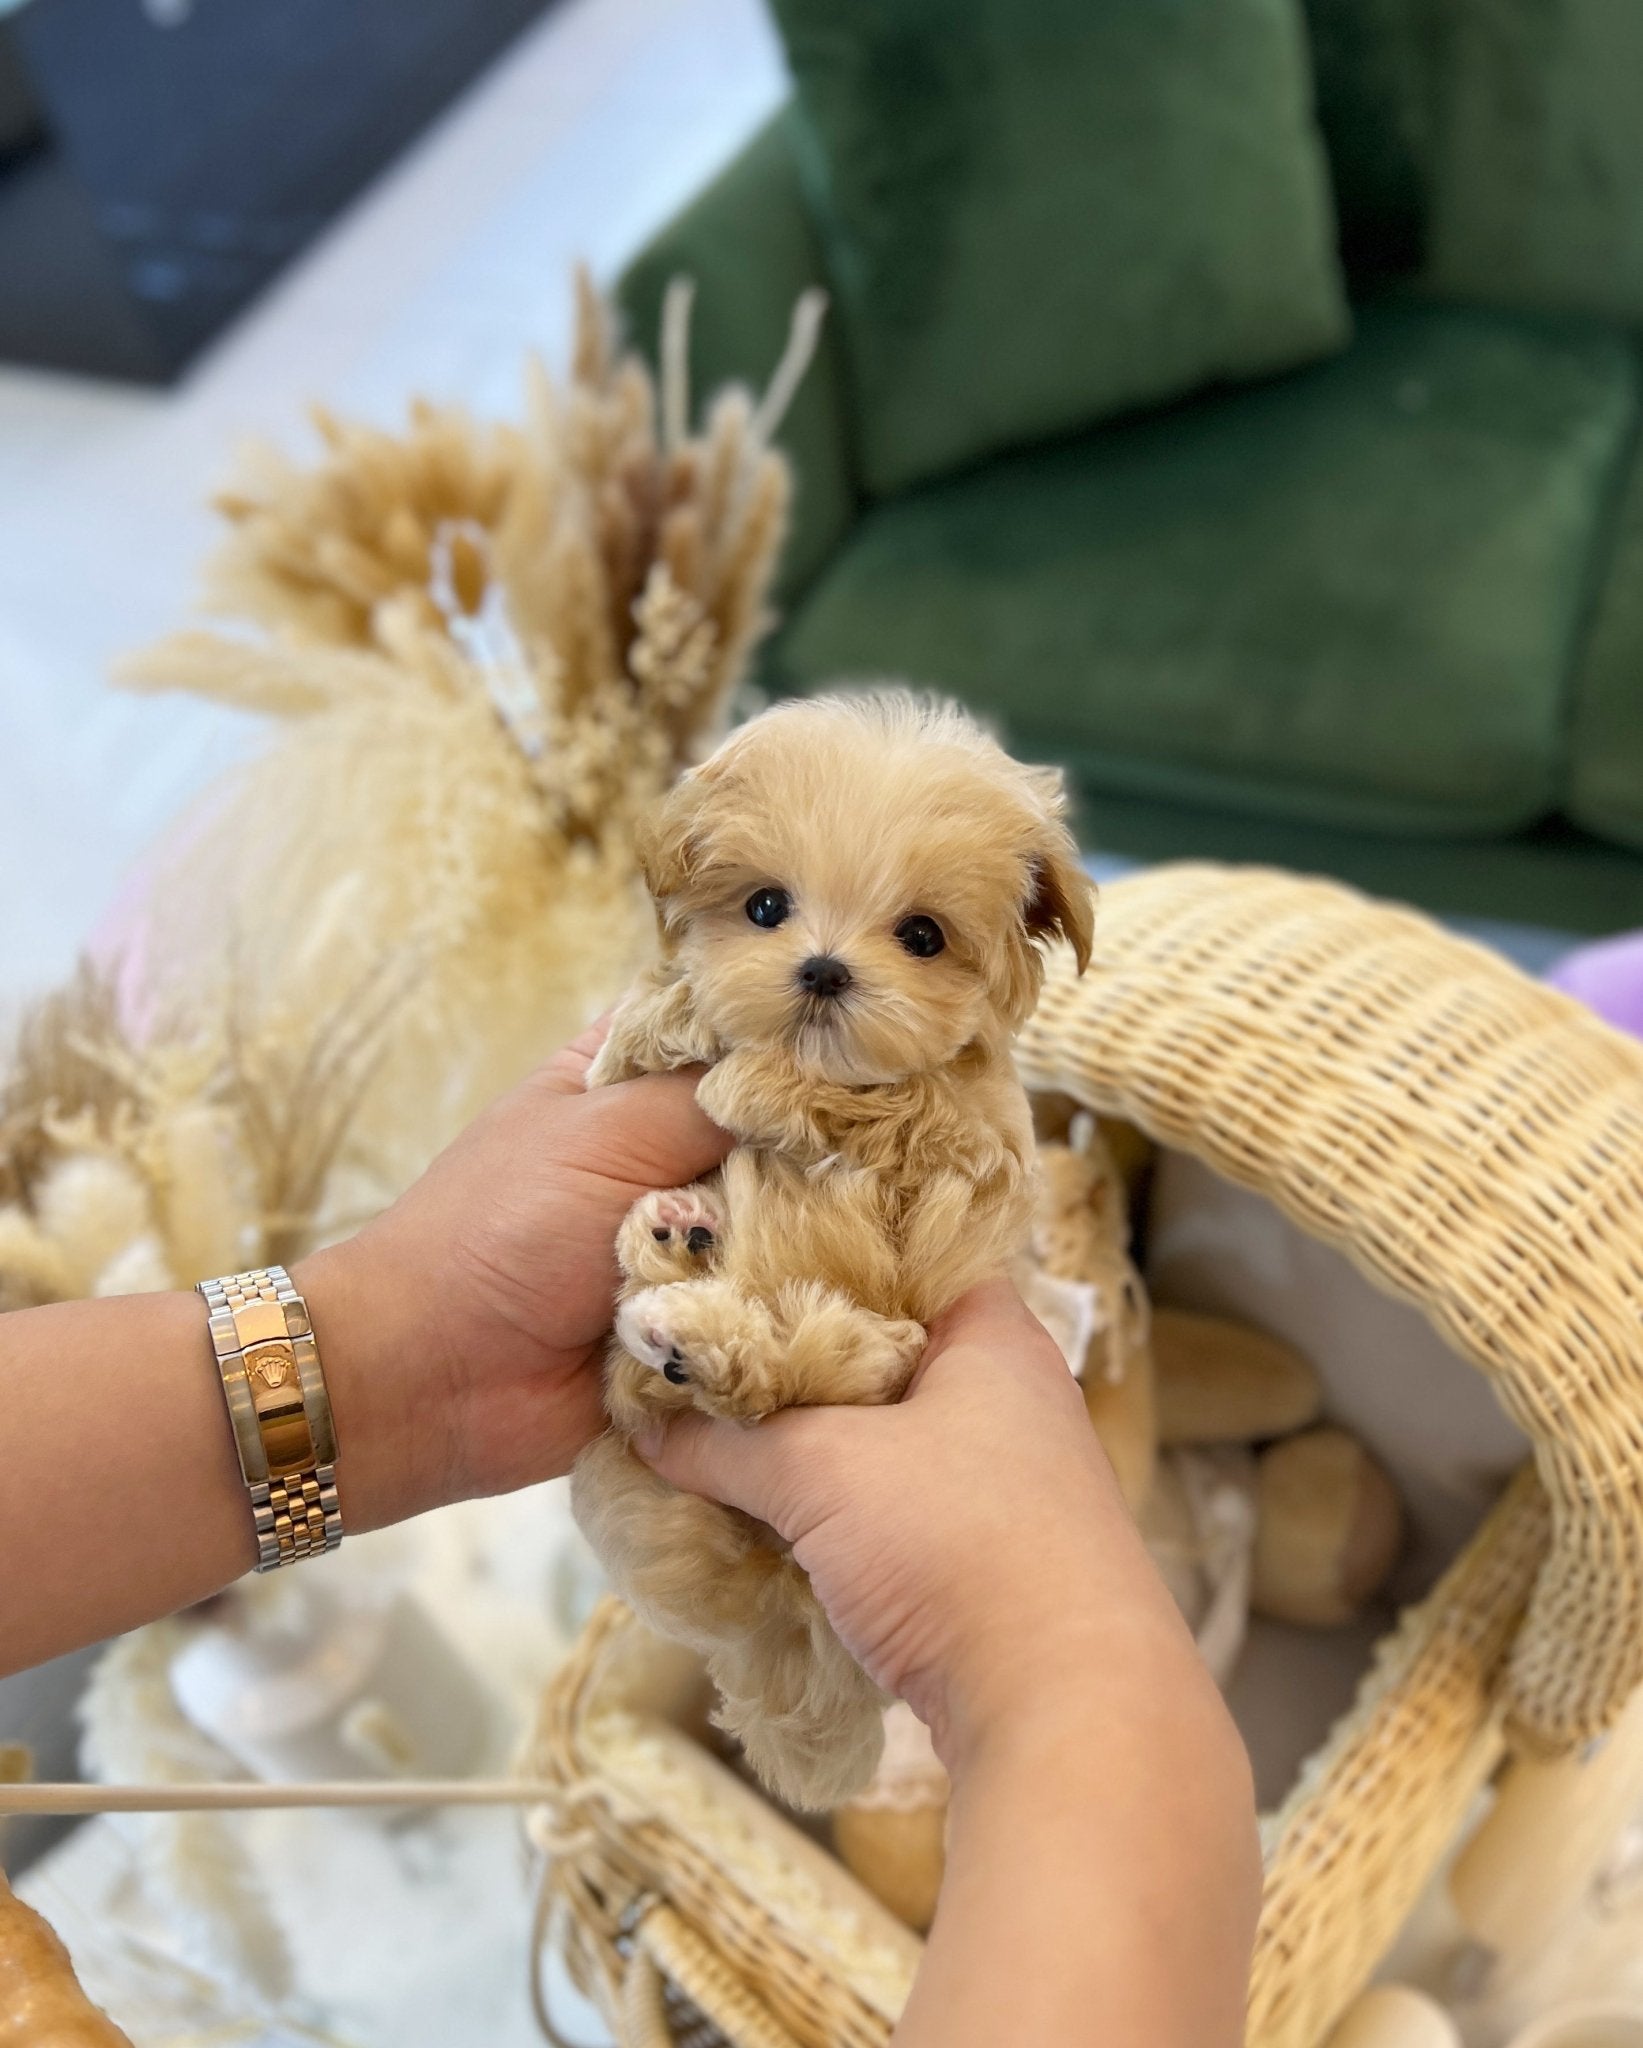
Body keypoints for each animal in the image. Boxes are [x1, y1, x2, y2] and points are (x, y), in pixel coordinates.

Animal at [569, 692, 1098, 1810]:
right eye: (765, 907)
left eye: (922, 935)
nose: (820, 968)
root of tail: (785, 1612)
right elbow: (628, 1050)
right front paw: (675, 1018)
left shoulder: (969, 1152)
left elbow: (898, 1102)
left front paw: (752, 1082)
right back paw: (673, 1247)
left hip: (857, 1367)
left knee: (785, 1375)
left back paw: (706, 1331)